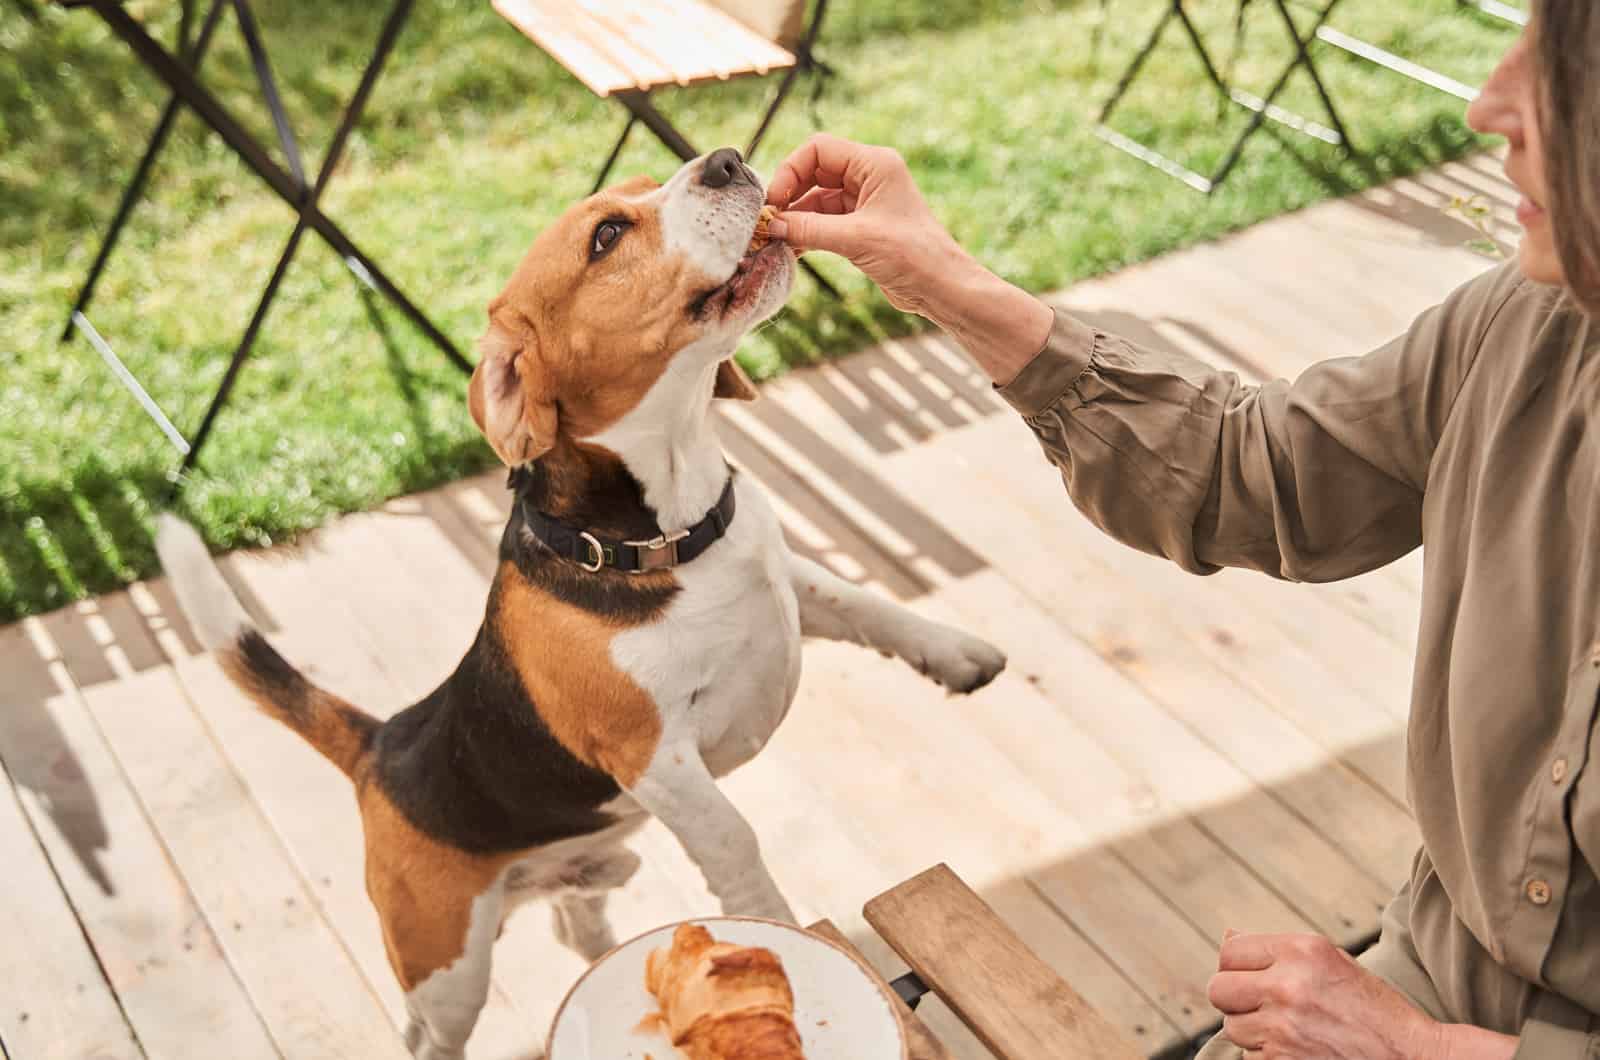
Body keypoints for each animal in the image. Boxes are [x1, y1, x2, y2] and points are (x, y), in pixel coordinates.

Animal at [156, 151, 1004, 1060]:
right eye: (606, 236)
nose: (727, 160)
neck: (666, 527)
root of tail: (383, 743)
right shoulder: (656, 761)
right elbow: (735, 840)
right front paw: (774, 927)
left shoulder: (787, 583)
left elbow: (869, 604)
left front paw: (956, 653)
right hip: (449, 969)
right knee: (428, 1033)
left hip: (589, 871)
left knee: (574, 924)